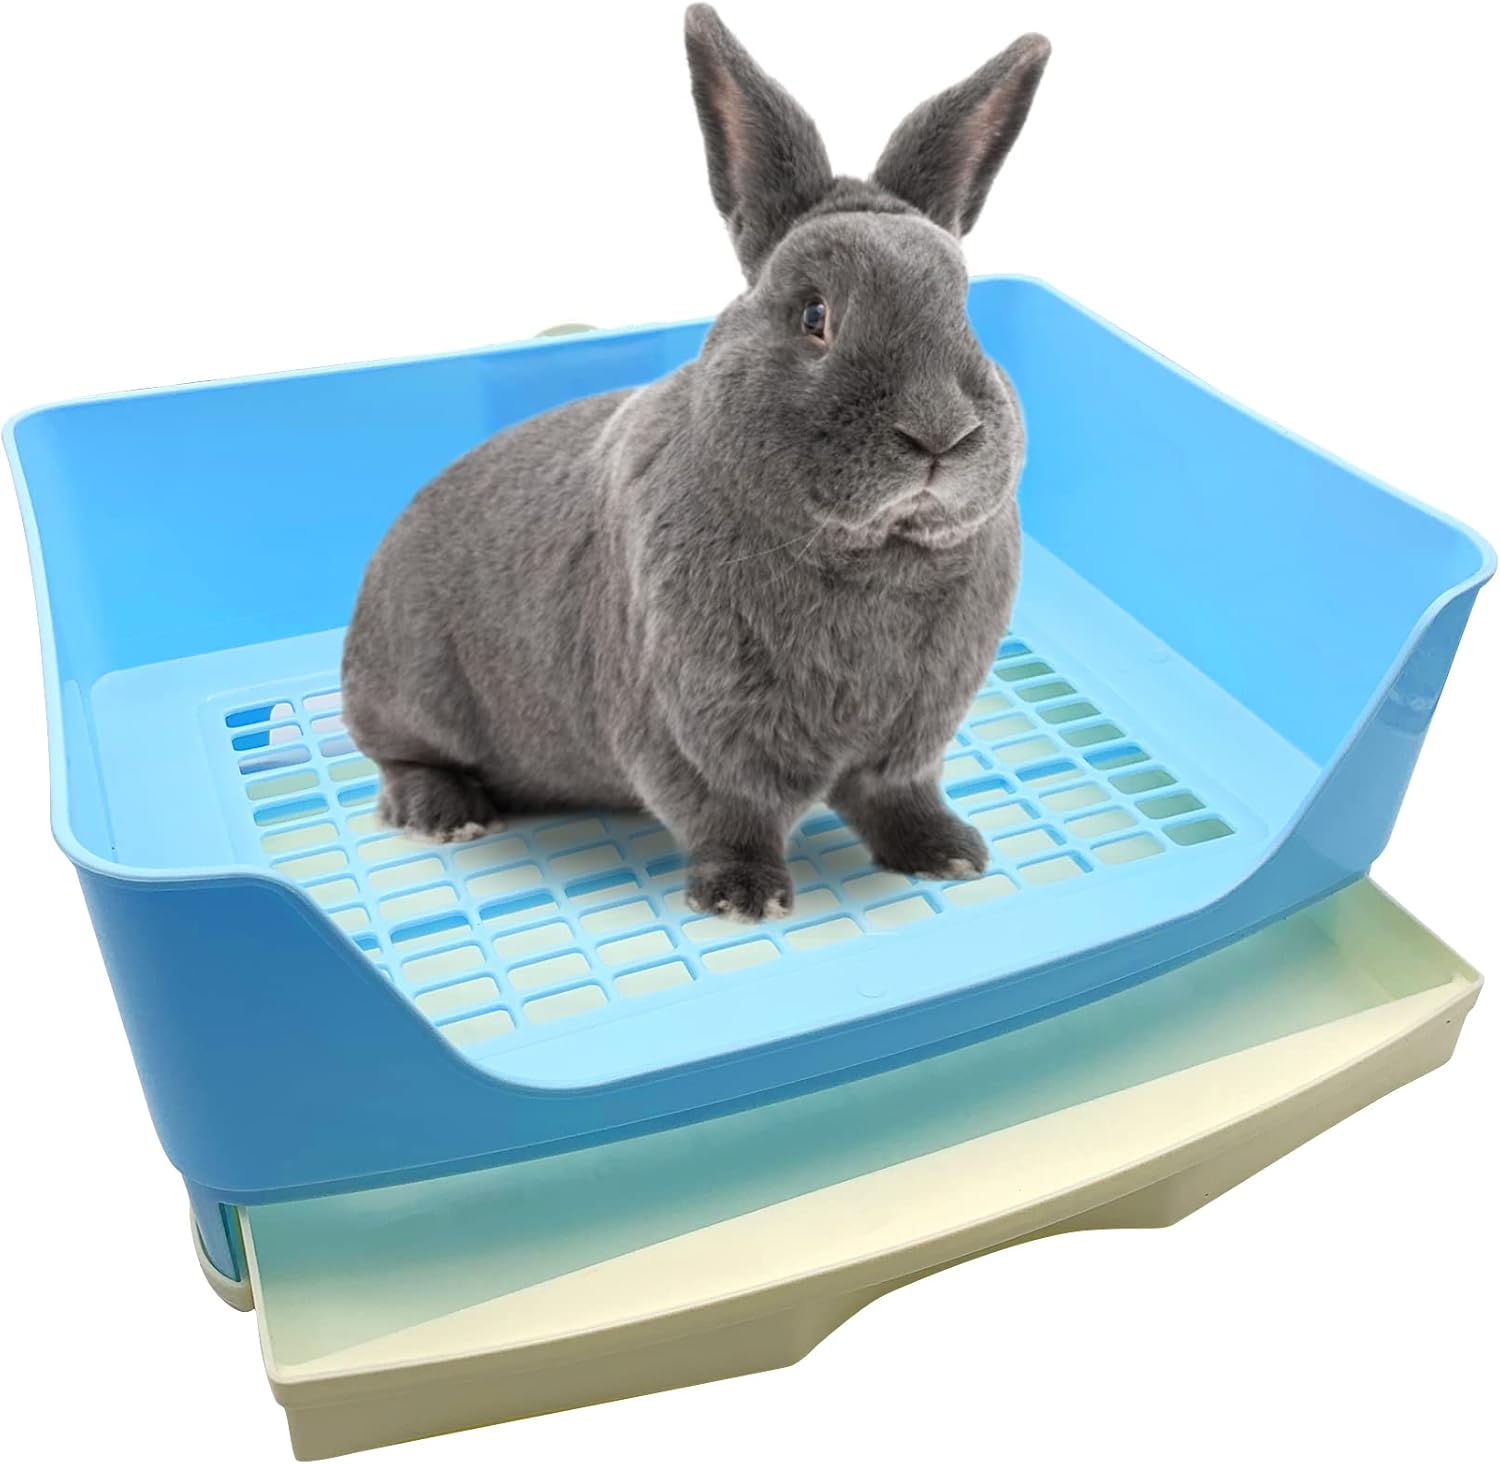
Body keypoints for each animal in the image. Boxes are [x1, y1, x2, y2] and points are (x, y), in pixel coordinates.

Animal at [342, 5, 1049, 922]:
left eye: (965, 310)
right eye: (814, 314)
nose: (940, 434)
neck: (873, 556)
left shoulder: (906, 746)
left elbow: (900, 799)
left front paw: (950, 854)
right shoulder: (694, 735)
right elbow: (730, 819)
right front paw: (745, 898)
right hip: (411, 690)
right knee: (399, 757)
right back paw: (447, 812)